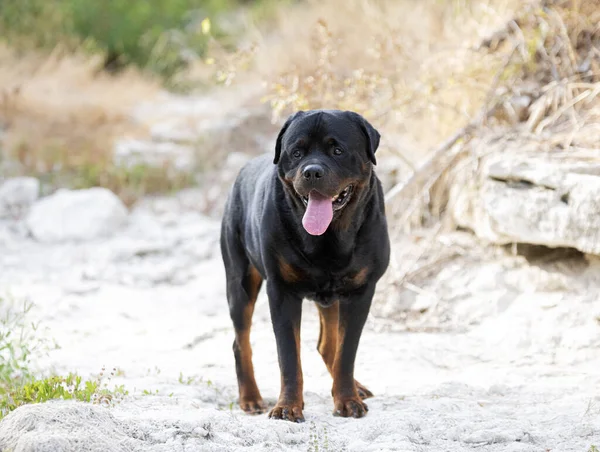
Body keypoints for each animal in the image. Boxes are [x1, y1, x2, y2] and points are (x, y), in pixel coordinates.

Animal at [219, 110, 390, 424]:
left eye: (338, 150)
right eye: (296, 153)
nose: (311, 171)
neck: (329, 237)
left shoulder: (361, 292)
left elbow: (346, 352)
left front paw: (347, 399)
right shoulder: (282, 291)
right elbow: (288, 357)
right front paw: (287, 407)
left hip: (331, 297)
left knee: (329, 346)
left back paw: (355, 387)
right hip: (239, 281)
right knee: (241, 342)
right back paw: (250, 398)